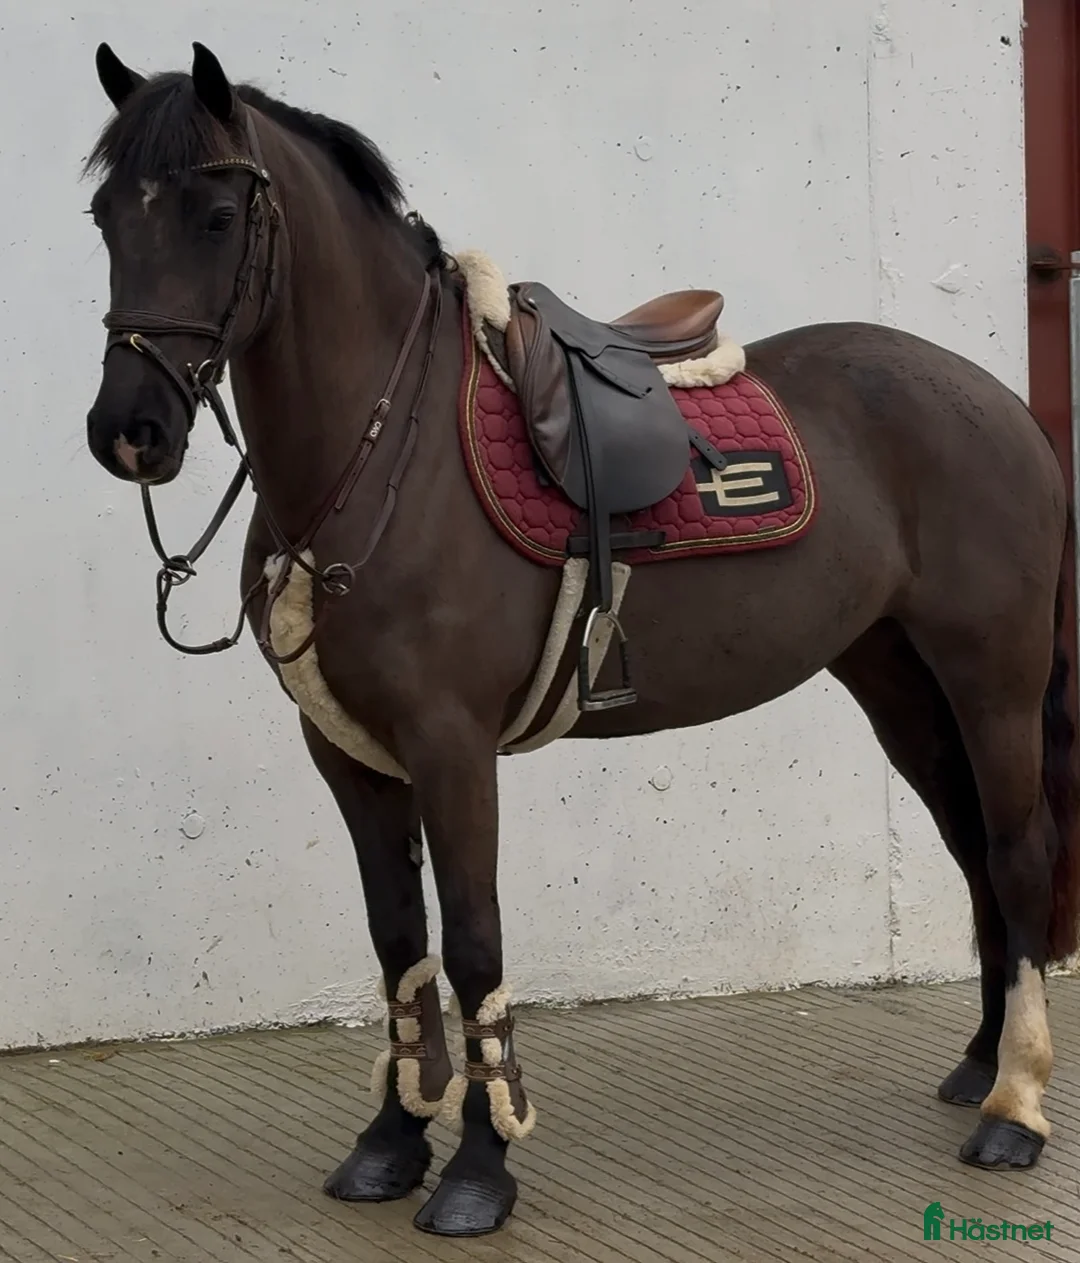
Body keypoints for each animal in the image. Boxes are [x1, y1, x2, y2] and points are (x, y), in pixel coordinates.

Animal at [82, 42, 1079, 1238]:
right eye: (104, 216)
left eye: (220, 215)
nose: (129, 430)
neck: (385, 451)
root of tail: (999, 403)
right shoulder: (351, 757)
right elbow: (398, 942)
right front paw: (390, 1142)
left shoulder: (451, 746)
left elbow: (473, 942)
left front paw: (478, 1168)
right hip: (896, 680)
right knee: (972, 848)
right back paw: (979, 1065)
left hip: (992, 678)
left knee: (1019, 853)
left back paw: (1016, 1110)